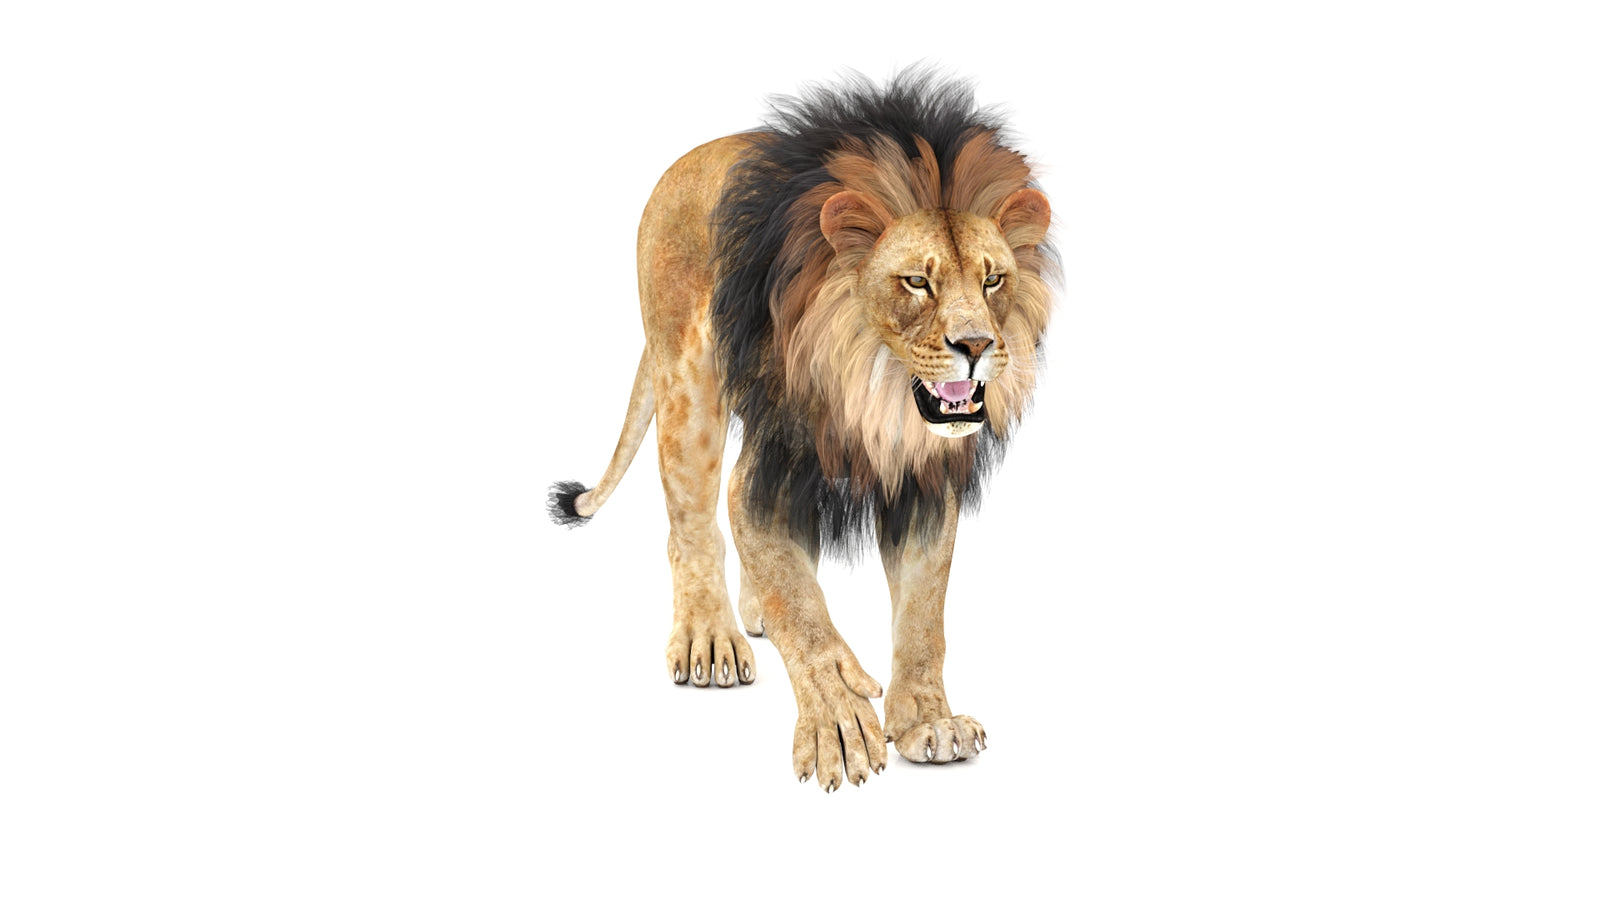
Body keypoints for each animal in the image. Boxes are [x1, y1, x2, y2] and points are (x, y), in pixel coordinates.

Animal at [549, 71, 1054, 791]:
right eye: (916, 282)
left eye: (992, 278)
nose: (978, 346)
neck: (874, 395)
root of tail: (686, 161)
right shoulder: (769, 470)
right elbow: (805, 617)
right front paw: (839, 721)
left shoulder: (924, 485)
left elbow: (923, 616)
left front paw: (929, 721)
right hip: (687, 381)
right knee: (691, 527)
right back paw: (709, 637)